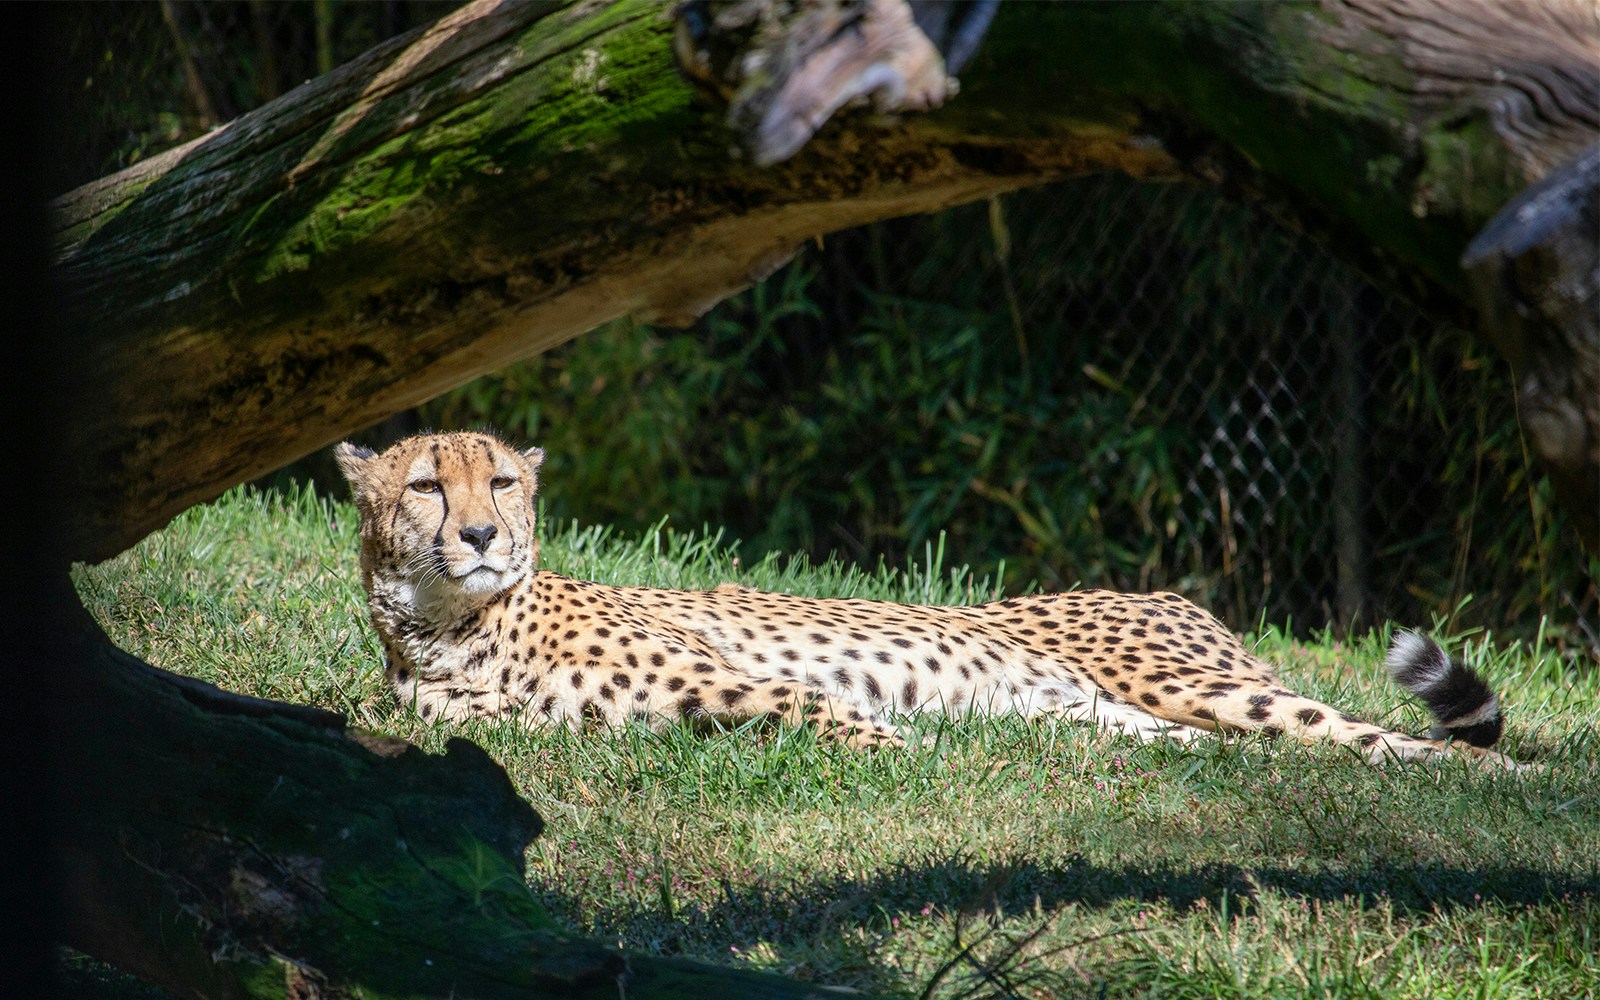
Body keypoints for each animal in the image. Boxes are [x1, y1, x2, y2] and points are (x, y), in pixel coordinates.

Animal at [336, 430, 1518, 768]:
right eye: (429, 484)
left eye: (501, 480)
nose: (481, 536)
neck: (452, 629)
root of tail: (1166, 592)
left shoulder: (759, 684)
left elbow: (836, 715)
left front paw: (907, 756)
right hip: (1119, 720)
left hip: (1199, 684)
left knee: (1388, 738)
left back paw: (1500, 783)